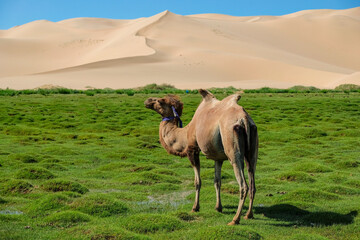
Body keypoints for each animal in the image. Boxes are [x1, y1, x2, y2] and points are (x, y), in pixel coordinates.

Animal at [144, 88, 258, 225]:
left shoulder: (192, 149)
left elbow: (197, 182)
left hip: (233, 148)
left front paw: (195, 207)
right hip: (253, 145)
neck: (185, 133)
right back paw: (249, 215)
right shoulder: (218, 157)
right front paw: (218, 207)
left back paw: (235, 219)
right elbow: (217, 181)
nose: (148, 100)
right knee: (252, 180)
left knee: (243, 185)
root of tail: (244, 119)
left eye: (160, 101)